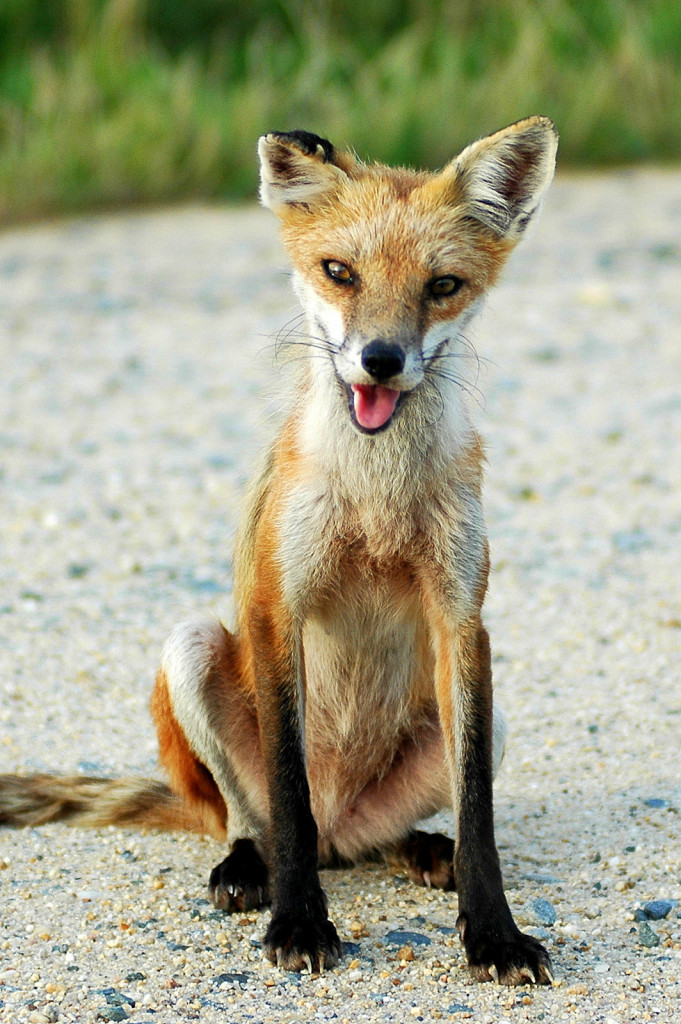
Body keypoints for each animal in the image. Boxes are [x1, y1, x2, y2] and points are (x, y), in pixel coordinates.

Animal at [1, 119, 557, 983]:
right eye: (339, 272)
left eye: (441, 286)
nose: (380, 359)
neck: (375, 497)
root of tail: (343, 825)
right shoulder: (278, 605)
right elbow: (287, 796)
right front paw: (299, 922)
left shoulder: (462, 618)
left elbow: (480, 820)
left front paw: (492, 933)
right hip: (193, 649)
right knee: (257, 818)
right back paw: (245, 867)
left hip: (483, 718)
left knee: (379, 838)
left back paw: (418, 848)